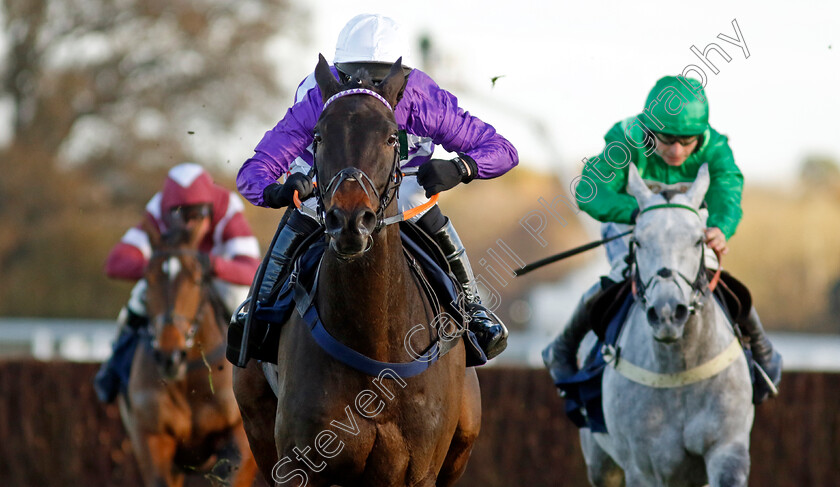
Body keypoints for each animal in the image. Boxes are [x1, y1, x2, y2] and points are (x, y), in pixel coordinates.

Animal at [233, 55, 482, 486]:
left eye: (391, 137)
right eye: (318, 137)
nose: (350, 220)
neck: (373, 342)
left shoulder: (420, 472)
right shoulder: (296, 466)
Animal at [576, 165, 756, 487]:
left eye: (698, 240)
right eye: (638, 241)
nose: (667, 313)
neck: (680, 370)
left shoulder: (727, 449)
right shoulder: (645, 466)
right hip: (600, 461)